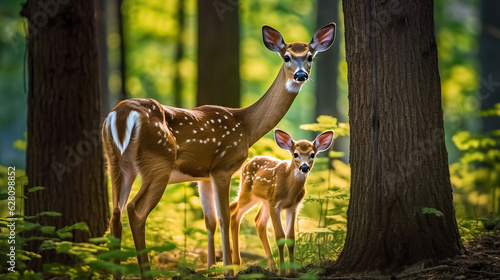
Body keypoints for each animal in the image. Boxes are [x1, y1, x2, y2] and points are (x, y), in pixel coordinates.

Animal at [231, 129, 336, 276]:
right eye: (295, 154)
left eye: (312, 154)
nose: (304, 167)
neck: (289, 192)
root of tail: (248, 161)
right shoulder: (275, 204)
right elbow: (280, 237)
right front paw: (282, 272)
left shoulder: (293, 206)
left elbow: (291, 238)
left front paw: (292, 272)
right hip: (248, 193)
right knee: (235, 213)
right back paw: (236, 264)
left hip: (264, 200)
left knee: (258, 221)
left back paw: (272, 266)